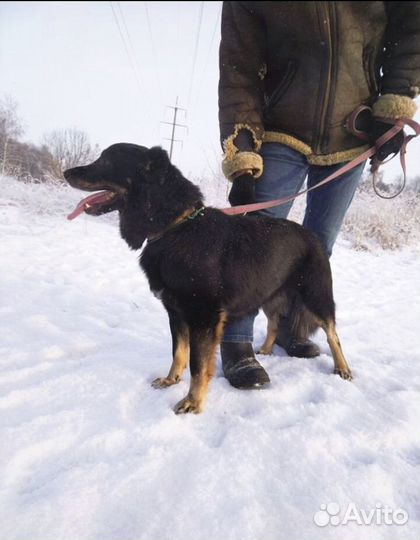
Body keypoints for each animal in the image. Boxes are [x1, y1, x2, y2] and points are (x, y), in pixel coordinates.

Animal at [64, 142, 352, 414]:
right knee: (274, 322)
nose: (66, 172)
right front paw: (171, 380)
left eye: (106, 160)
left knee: (332, 334)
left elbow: (198, 364)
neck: (176, 227)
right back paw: (266, 350)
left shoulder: (203, 318)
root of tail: (312, 237)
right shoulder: (176, 313)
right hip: (270, 294)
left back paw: (343, 368)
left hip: (316, 296)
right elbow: (178, 353)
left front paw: (193, 402)